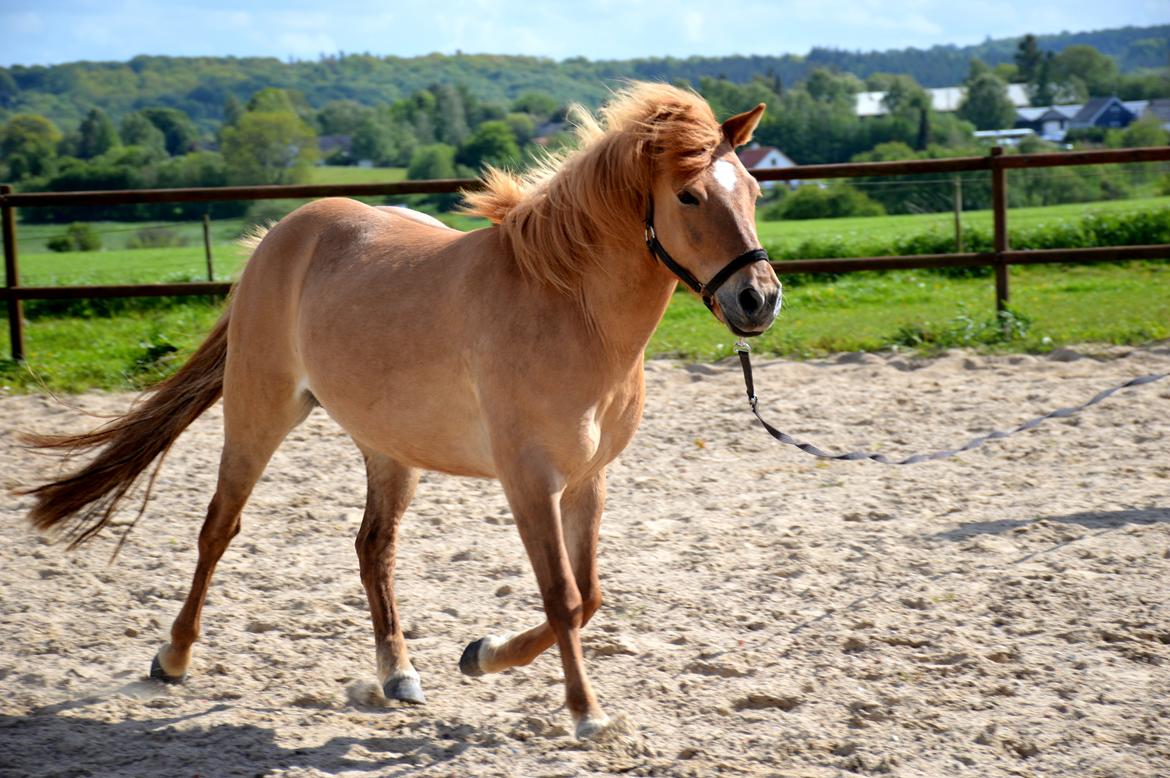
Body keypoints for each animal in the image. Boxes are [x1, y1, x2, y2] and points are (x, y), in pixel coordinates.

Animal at [18, 81, 781, 739]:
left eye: (750, 190)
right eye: (689, 196)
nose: (759, 299)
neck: (569, 309)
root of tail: (279, 235)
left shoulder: (587, 479)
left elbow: (587, 595)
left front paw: (481, 654)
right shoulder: (528, 480)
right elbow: (563, 597)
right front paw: (586, 714)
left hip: (390, 448)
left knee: (372, 548)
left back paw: (398, 673)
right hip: (259, 414)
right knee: (218, 530)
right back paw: (173, 658)